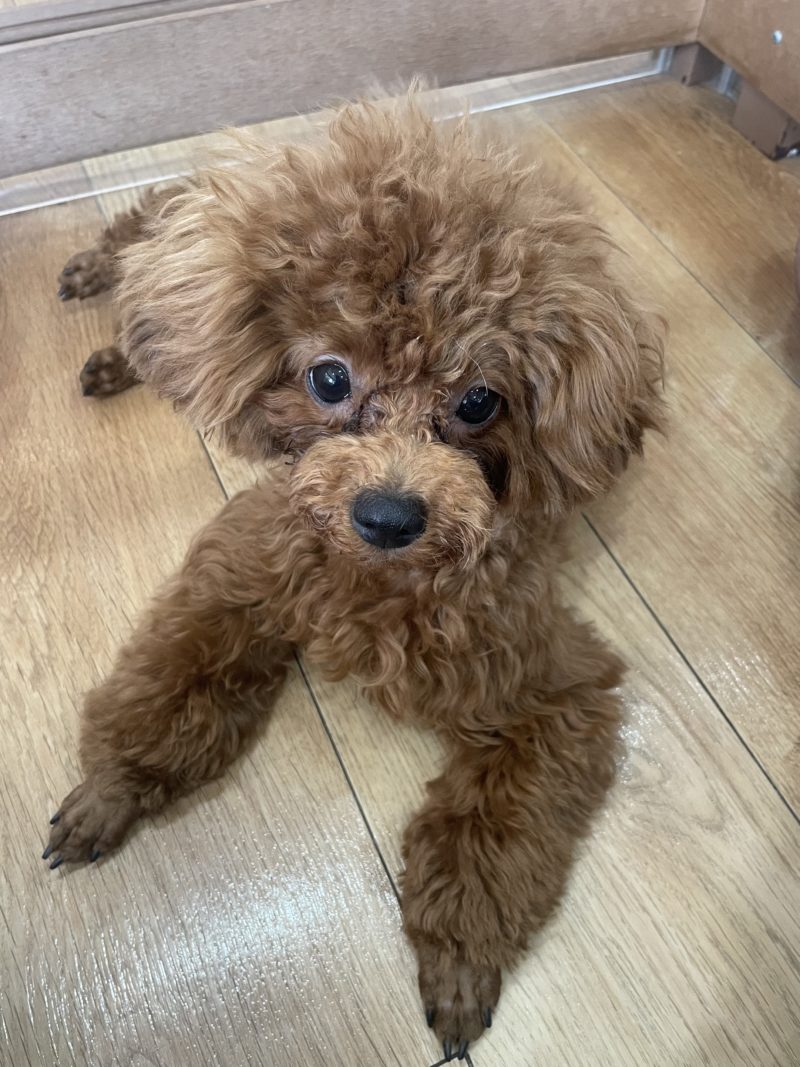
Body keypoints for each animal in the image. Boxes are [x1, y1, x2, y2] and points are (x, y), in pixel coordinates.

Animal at [46, 95, 664, 1059]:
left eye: (479, 400)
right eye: (329, 379)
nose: (387, 513)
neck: (379, 576)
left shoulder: (552, 690)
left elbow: (491, 836)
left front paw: (458, 964)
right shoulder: (241, 574)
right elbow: (170, 684)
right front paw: (110, 792)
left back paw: (113, 356)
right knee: (149, 246)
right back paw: (97, 282)